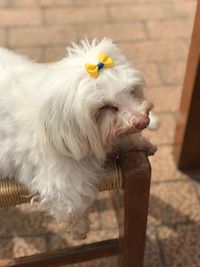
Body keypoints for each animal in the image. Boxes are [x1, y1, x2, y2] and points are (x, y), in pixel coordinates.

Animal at [0, 38, 156, 240]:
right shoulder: (60, 183)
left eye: (130, 90)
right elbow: (72, 209)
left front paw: (141, 143)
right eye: (105, 107)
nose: (144, 121)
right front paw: (80, 229)